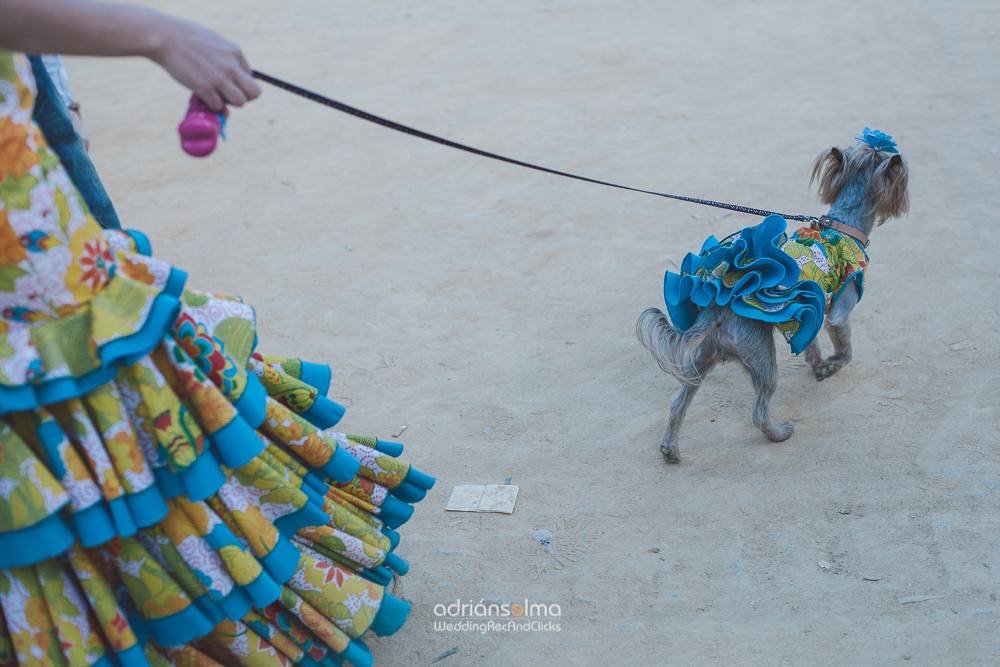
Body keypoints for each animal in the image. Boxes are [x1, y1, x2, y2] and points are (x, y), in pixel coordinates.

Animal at [640, 132, 908, 464]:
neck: (844, 225)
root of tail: (718, 308)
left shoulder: (810, 311)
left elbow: (811, 345)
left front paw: (819, 364)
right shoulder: (837, 314)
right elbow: (845, 350)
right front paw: (831, 366)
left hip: (700, 361)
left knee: (678, 403)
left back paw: (670, 450)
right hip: (762, 358)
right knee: (758, 412)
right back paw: (780, 433)